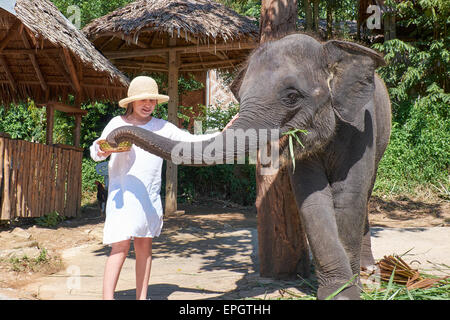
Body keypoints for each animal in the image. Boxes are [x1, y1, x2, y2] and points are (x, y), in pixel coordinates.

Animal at [105, 33, 390, 298]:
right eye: (240, 97)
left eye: (292, 96)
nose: (113, 139)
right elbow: (314, 201)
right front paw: (337, 291)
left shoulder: (362, 127)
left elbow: (348, 198)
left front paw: (346, 292)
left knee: (366, 193)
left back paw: (368, 269)